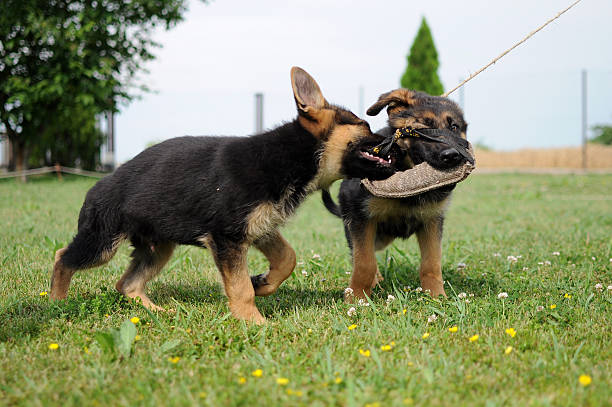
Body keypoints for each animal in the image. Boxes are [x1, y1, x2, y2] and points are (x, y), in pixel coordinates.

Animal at [50, 68, 400, 324]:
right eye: (364, 125)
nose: (393, 141)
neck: (288, 156)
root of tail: (98, 185)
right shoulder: (227, 238)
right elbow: (241, 287)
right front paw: (253, 322)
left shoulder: (259, 226)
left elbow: (287, 258)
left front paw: (264, 284)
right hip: (103, 242)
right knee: (62, 257)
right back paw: (56, 302)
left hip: (157, 248)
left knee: (127, 284)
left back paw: (158, 311)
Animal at [326, 88, 468, 300]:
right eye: (421, 130)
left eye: (454, 127)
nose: (451, 156)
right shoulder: (361, 219)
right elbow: (364, 262)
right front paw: (356, 297)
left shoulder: (432, 221)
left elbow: (432, 263)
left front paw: (436, 296)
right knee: (360, 253)